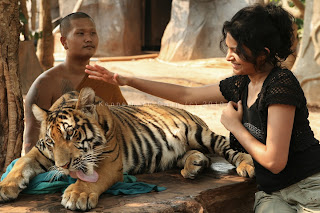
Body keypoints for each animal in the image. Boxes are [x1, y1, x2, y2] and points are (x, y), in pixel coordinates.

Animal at [0, 87, 255, 211]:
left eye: (71, 134)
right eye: (51, 141)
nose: (62, 166)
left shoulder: (110, 162)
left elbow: (89, 180)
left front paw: (77, 195)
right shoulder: (39, 152)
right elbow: (21, 163)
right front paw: (5, 186)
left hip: (199, 133)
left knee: (228, 147)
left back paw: (247, 165)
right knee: (200, 157)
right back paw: (194, 165)